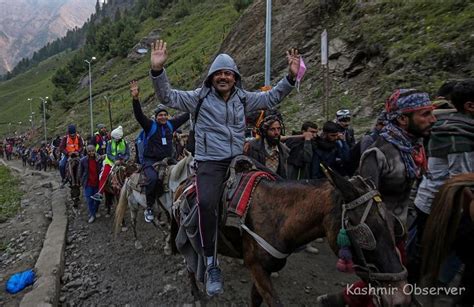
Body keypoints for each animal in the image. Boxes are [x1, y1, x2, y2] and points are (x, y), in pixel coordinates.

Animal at [172, 166, 410, 307]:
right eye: (364, 231)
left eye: (395, 227)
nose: (401, 298)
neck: (279, 217)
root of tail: (183, 184)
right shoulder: (258, 269)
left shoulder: (262, 269)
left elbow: (256, 299)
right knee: (189, 264)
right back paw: (196, 292)